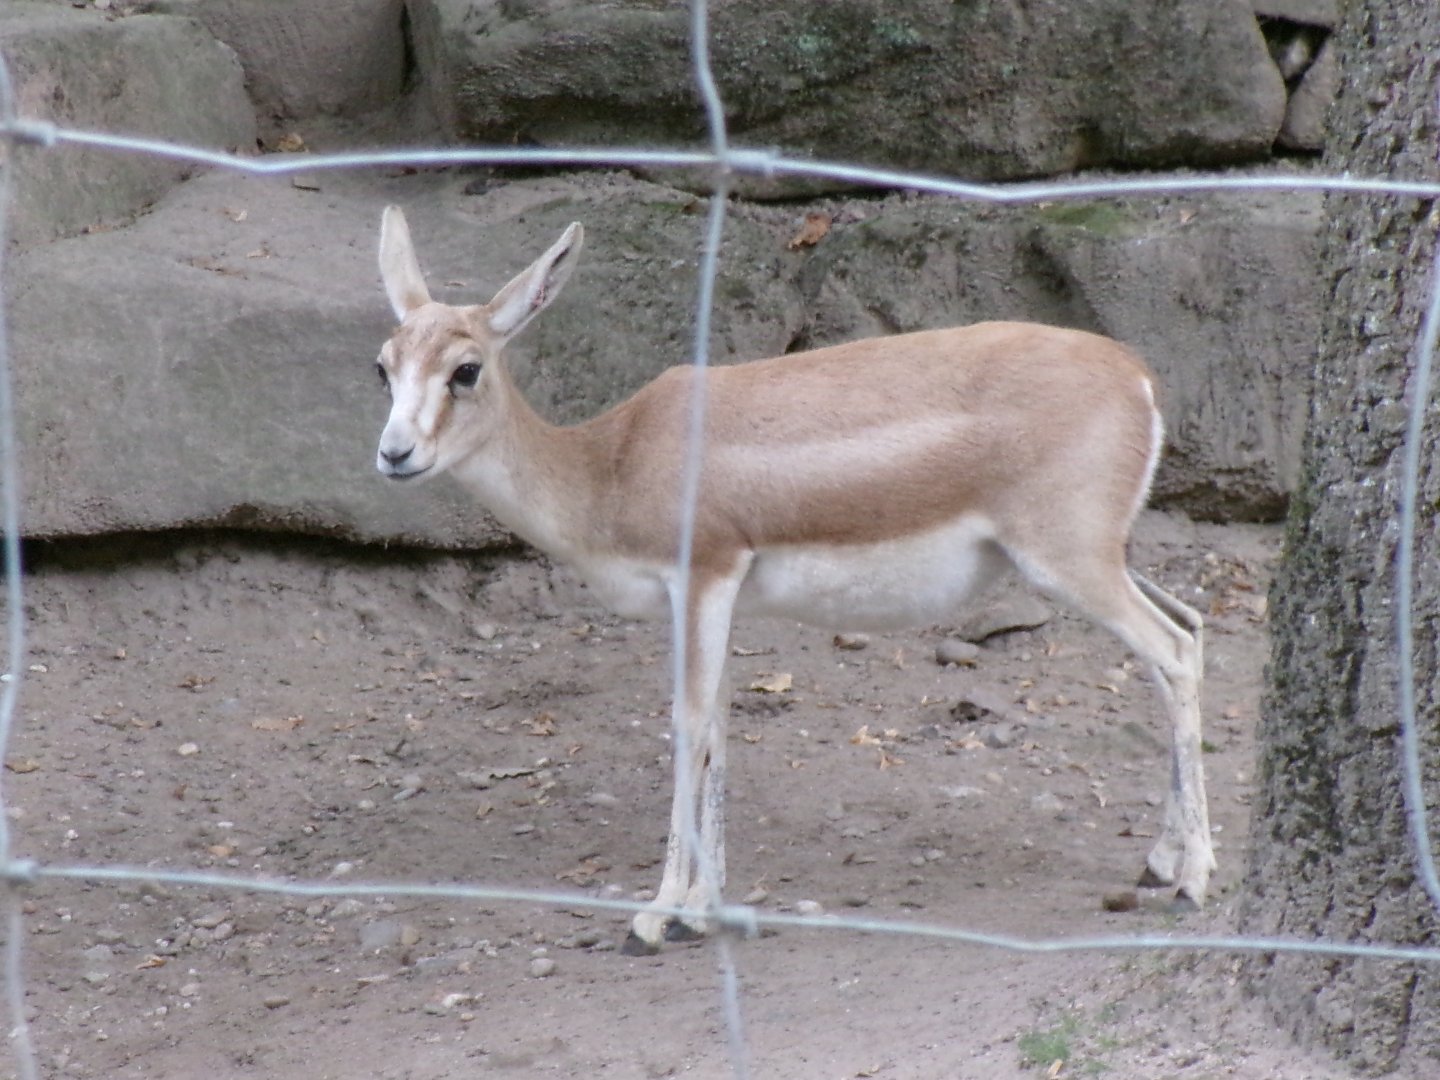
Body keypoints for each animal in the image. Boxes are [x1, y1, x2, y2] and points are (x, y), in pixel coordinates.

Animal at [371, 206, 1211, 954]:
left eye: (465, 369)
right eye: (384, 366)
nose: (394, 455)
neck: (610, 464)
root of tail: (1135, 374)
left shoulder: (704, 576)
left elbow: (690, 725)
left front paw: (655, 916)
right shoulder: (715, 599)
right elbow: (722, 728)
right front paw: (704, 911)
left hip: (1070, 563)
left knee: (1171, 652)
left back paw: (1194, 879)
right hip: (1104, 558)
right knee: (1190, 629)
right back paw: (1159, 861)